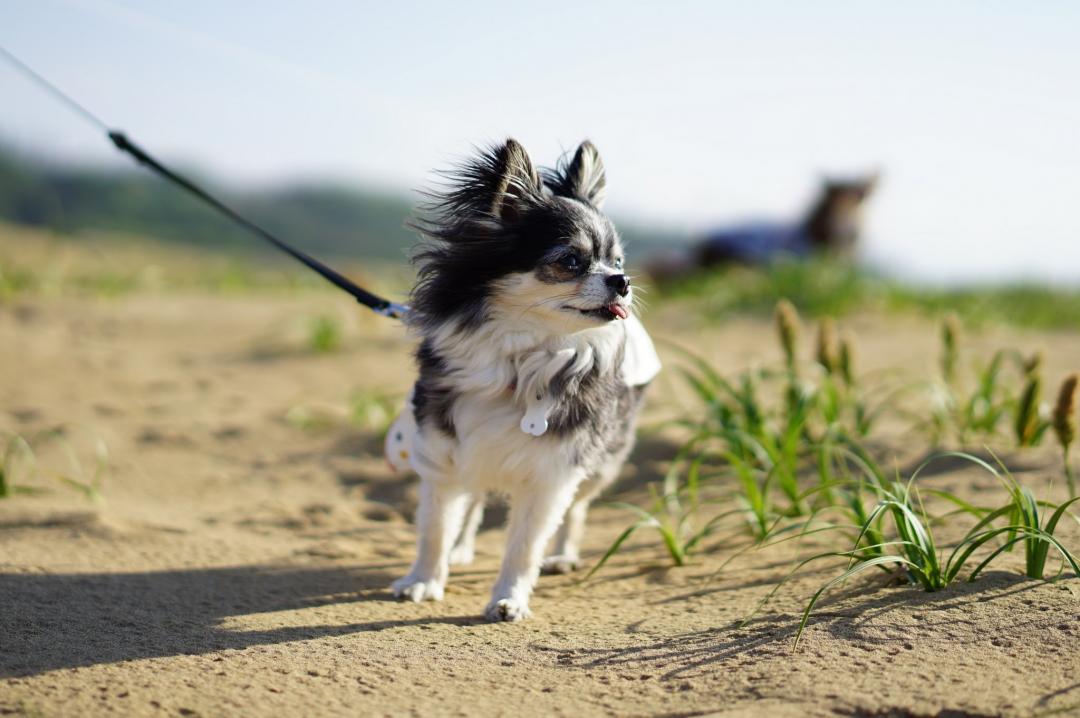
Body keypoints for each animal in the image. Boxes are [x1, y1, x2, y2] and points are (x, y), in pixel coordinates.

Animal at [384, 137, 660, 617]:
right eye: (570, 261)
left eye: (616, 260)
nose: (623, 280)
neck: (520, 357)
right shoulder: (444, 450)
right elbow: (434, 526)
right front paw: (423, 580)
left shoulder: (554, 471)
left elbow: (524, 545)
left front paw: (508, 598)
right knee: (474, 498)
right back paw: (461, 549)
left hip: (602, 459)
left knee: (577, 511)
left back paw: (562, 556)